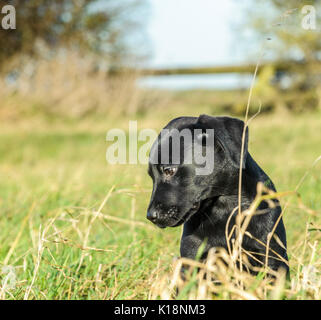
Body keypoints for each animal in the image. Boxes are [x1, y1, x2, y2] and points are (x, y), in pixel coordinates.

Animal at [146, 114, 288, 274]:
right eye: (151, 176)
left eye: (169, 170)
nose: (150, 216)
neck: (226, 206)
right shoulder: (193, 255)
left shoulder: (272, 255)